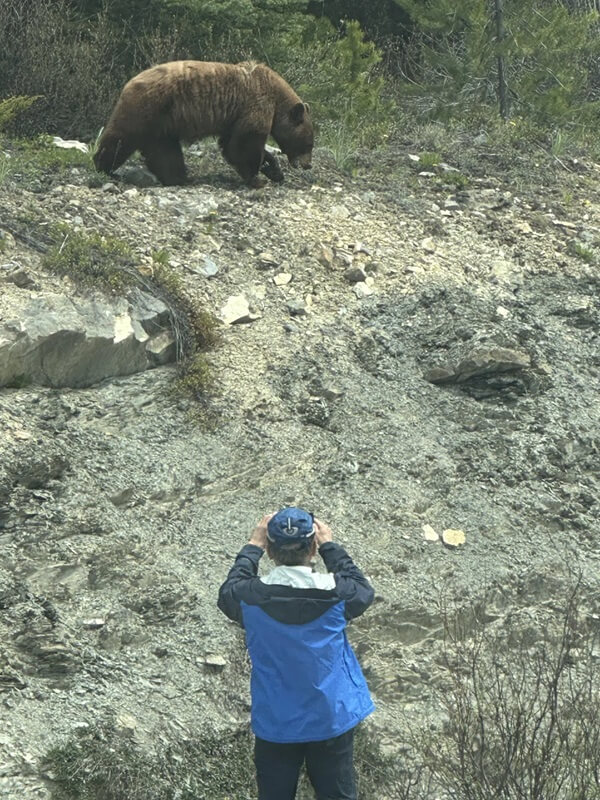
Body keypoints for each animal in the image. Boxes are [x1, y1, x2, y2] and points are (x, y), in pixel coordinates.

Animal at [94, 60, 314, 188]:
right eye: (308, 144)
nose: (308, 165)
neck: (277, 99)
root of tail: (130, 82)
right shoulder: (255, 105)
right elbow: (244, 144)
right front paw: (257, 178)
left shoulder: (233, 119)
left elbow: (231, 144)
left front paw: (274, 170)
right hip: (147, 109)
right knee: (121, 139)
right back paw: (103, 166)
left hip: (162, 124)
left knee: (164, 151)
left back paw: (179, 178)